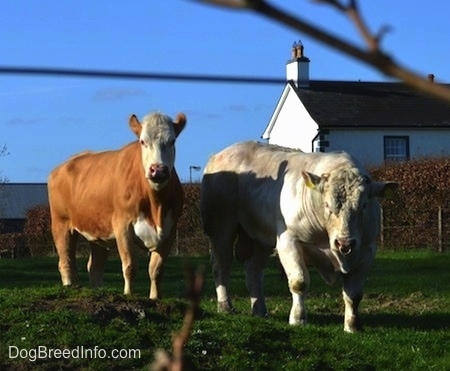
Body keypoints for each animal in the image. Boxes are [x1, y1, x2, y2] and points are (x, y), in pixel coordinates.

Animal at [47, 110, 185, 300]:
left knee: (94, 267)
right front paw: (128, 294)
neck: (156, 206)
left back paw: (98, 291)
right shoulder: (122, 226)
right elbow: (130, 266)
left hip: (97, 232)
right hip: (61, 224)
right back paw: (70, 288)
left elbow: (156, 269)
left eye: (172, 141)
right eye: (142, 141)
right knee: (66, 262)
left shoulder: (170, 230)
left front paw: (155, 297)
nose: (158, 169)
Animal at [201, 142, 398, 334]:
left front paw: (352, 326)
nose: (344, 242)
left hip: (260, 238)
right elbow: (299, 282)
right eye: (327, 205)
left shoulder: (366, 250)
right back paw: (225, 306)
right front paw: (298, 319)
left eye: (364, 205)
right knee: (221, 266)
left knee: (253, 271)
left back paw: (260, 310)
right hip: (221, 227)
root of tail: (221, 153)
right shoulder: (288, 241)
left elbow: (354, 294)